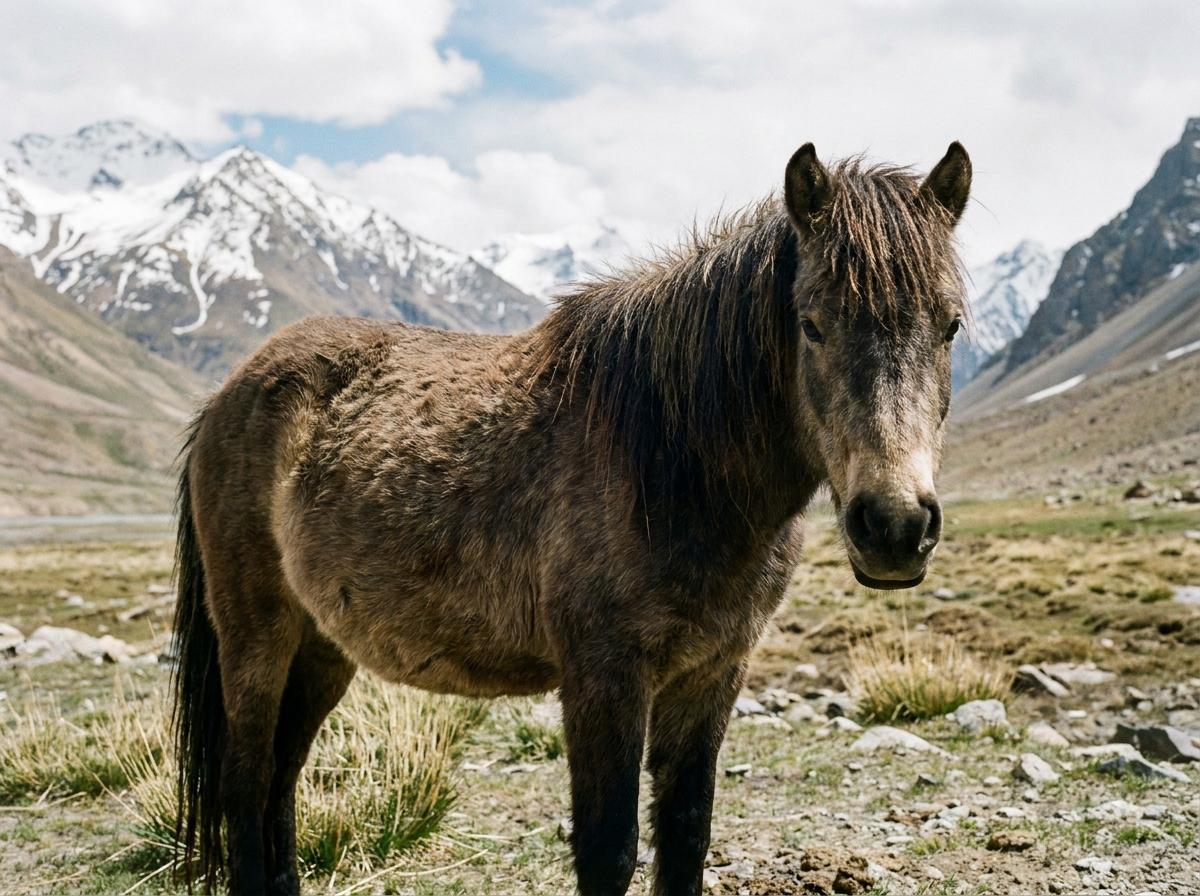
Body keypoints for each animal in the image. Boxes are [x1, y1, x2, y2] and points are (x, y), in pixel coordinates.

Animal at [171, 140, 971, 895]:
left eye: (952, 328)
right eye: (810, 324)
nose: (895, 527)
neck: (669, 454)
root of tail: (227, 395)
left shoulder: (713, 672)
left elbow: (686, 837)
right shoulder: (602, 675)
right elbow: (609, 851)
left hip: (322, 647)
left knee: (281, 779)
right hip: (257, 637)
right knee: (246, 786)